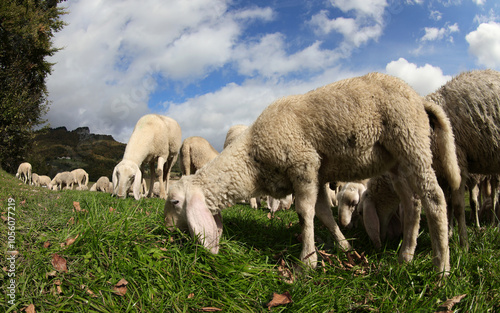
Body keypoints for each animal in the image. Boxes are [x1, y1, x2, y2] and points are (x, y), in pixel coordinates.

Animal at [164, 72, 458, 272]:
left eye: (175, 201)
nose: (166, 227)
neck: (251, 158)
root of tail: (419, 99)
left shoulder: (303, 164)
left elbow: (304, 213)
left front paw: (307, 261)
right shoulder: (317, 175)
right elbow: (324, 214)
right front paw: (344, 246)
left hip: (410, 140)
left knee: (434, 198)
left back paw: (441, 268)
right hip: (397, 161)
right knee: (413, 203)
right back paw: (406, 255)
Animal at [424, 69, 500, 234]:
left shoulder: (460, 166)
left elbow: (462, 205)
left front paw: (464, 238)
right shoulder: (442, 174)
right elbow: (447, 204)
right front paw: (449, 232)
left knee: (494, 197)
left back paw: (493, 223)